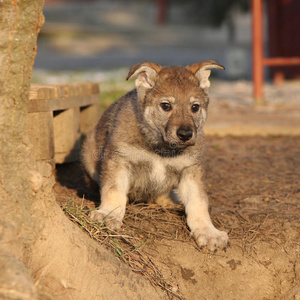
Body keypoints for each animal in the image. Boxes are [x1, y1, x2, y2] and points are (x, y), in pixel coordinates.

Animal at [81, 61, 229, 251]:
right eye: (166, 106)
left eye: (195, 107)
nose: (185, 134)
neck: (161, 148)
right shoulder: (119, 160)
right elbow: (114, 190)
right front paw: (109, 214)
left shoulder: (190, 170)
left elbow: (198, 202)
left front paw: (208, 232)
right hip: (88, 152)